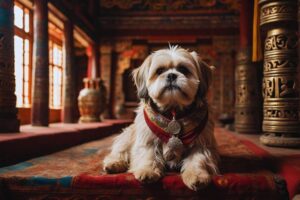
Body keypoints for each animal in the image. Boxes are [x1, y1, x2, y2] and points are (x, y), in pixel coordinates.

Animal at [103, 45, 218, 191]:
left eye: (183, 69)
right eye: (160, 71)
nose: (171, 75)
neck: (173, 112)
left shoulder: (201, 143)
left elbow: (197, 159)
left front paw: (197, 175)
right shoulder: (147, 139)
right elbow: (148, 154)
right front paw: (147, 170)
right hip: (128, 136)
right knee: (119, 151)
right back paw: (114, 164)